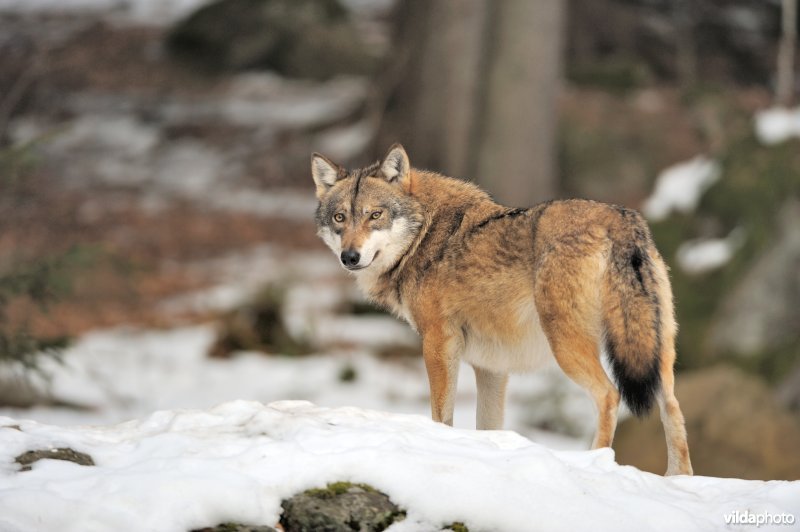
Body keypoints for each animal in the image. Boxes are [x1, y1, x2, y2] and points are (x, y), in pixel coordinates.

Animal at [311, 144, 693, 476]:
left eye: (375, 215)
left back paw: (594, 462)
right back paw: (678, 480)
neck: (424, 237)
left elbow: (441, 415)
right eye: (340, 218)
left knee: (609, 395)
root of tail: (618, 218)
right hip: (655, 351)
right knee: (673, 407)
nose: (349, 257)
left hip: (568, 346)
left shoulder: (438, 343)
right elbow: (488, 426)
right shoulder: (491, 367)